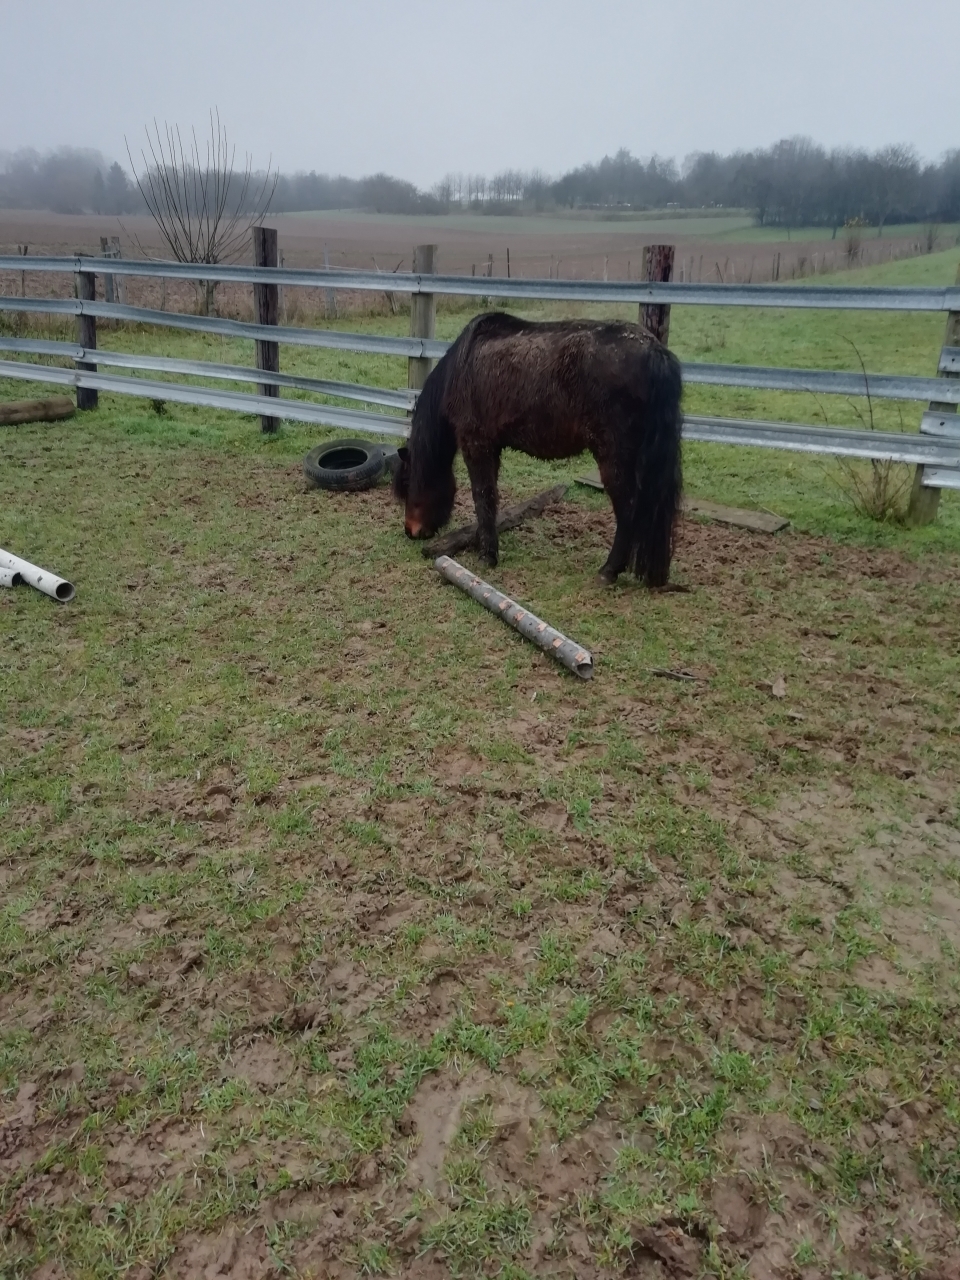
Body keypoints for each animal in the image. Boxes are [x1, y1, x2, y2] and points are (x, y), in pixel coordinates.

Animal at [393, 312, 683, 586]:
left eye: (407, 484)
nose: (411, 530)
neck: (462, 366)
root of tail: (655, 351)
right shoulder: (492, 447)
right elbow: (490, 499)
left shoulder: (476, 443)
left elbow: (482, 496)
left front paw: (487, 555)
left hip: (614, 457)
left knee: (628, 509)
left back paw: (609, 570)